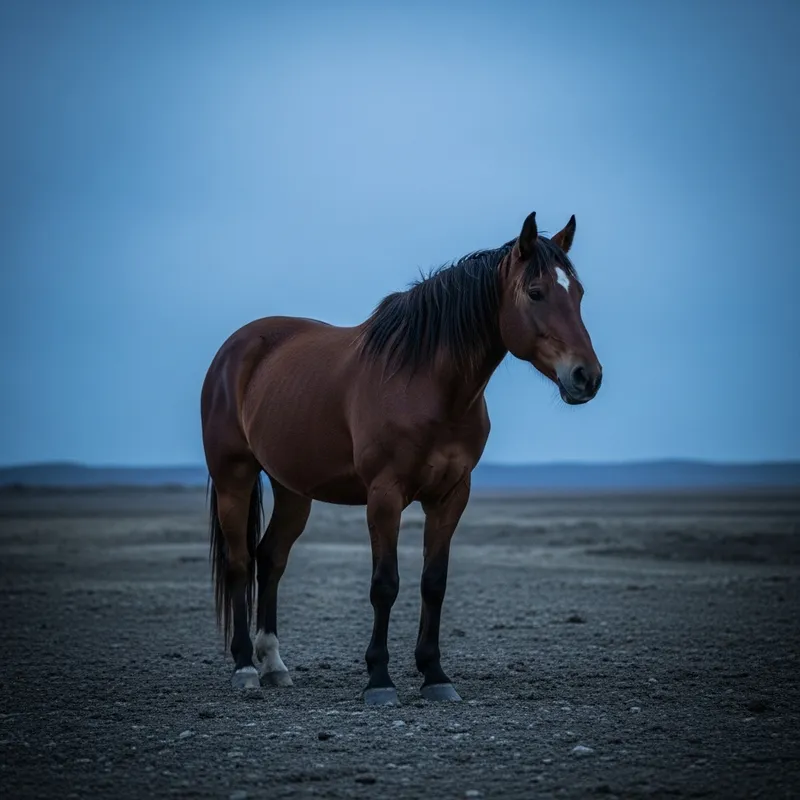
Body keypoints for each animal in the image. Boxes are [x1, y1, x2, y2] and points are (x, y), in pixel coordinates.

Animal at [200, 211, 602, 705]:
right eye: (536, 292)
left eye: (578, 293)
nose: (586, 377)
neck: (428, 385)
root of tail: (236, 348)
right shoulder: (385, 495)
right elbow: (385, 585)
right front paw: (379, 679)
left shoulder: (451, 495)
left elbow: (434, 583)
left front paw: (435, 675)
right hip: (233, 478)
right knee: (239, 564)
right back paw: (244, 667)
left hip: (293, 489)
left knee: (270, 558)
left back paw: (274, 665)